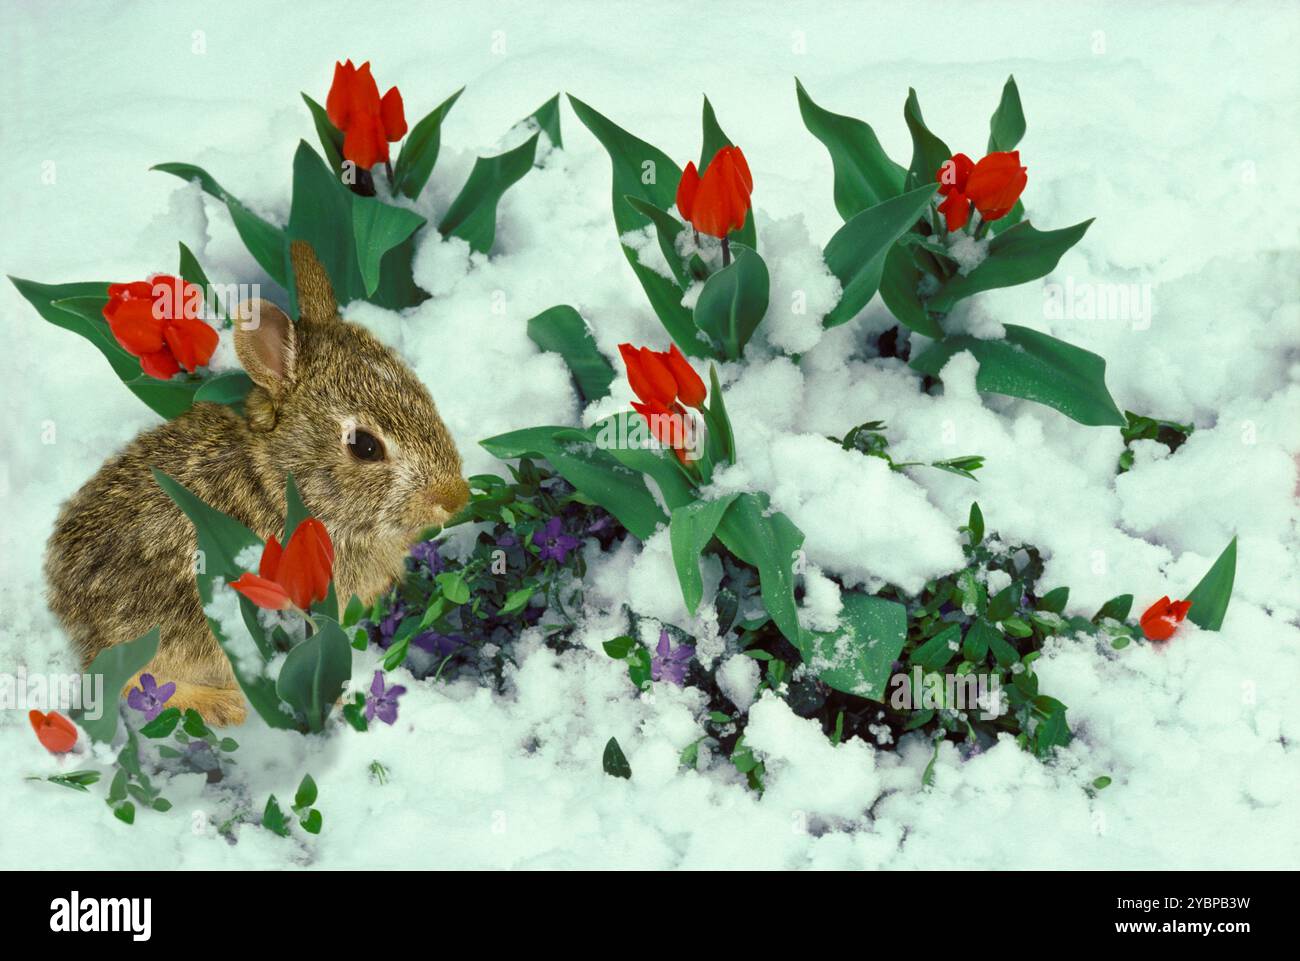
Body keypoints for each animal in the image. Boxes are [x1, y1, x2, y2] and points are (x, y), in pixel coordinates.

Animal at [44, 241, 470, 726]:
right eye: (365, 447)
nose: (455, 496)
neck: (280, 481)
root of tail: (65, 602)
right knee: (136, 680)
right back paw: (224, 705)